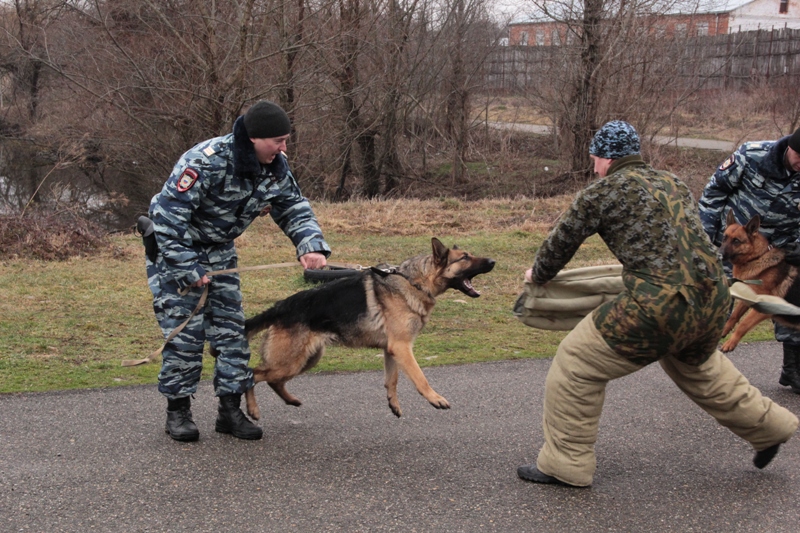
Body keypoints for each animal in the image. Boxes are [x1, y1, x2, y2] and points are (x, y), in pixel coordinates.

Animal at [241, 238, 496, 420]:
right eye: (465, 257)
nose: (493, 261)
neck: (414, 281)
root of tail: (280, 307)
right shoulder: (402, 348)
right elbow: (420, 378)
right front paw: (435, 398)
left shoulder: (392, 350)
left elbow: (392, 380)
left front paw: (393, 403)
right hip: (290, 362)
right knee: (253, 373)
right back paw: (253, 410)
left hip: (306, 360)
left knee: (272, 380)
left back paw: (291, 400)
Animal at [720, 210, 800, 352]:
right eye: (724, 238)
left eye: (736, 241)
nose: (719, 254)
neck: (756, 258)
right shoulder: (747, 298)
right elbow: (734, 316)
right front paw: (724, 331)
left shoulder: (763, 309)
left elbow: (743, 325)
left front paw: (730, 343)